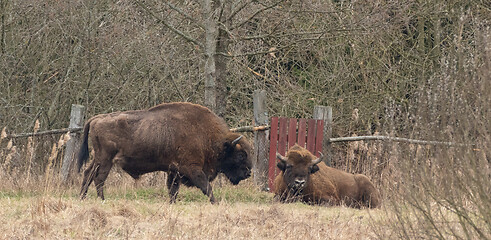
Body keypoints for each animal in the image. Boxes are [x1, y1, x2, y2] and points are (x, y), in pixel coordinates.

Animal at [78, 101, 254, 202]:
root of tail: (96, 118)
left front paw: (172, 203)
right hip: (105, 159)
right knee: (99, 178)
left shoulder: (174, 170)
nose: (248, 173)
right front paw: (215, 202)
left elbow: (173, 190)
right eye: (240, 155)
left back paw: (82, 197)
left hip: (98, 158)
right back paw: (102, 200)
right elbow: (206, 187)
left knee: (88, 174)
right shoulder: (192, 169)